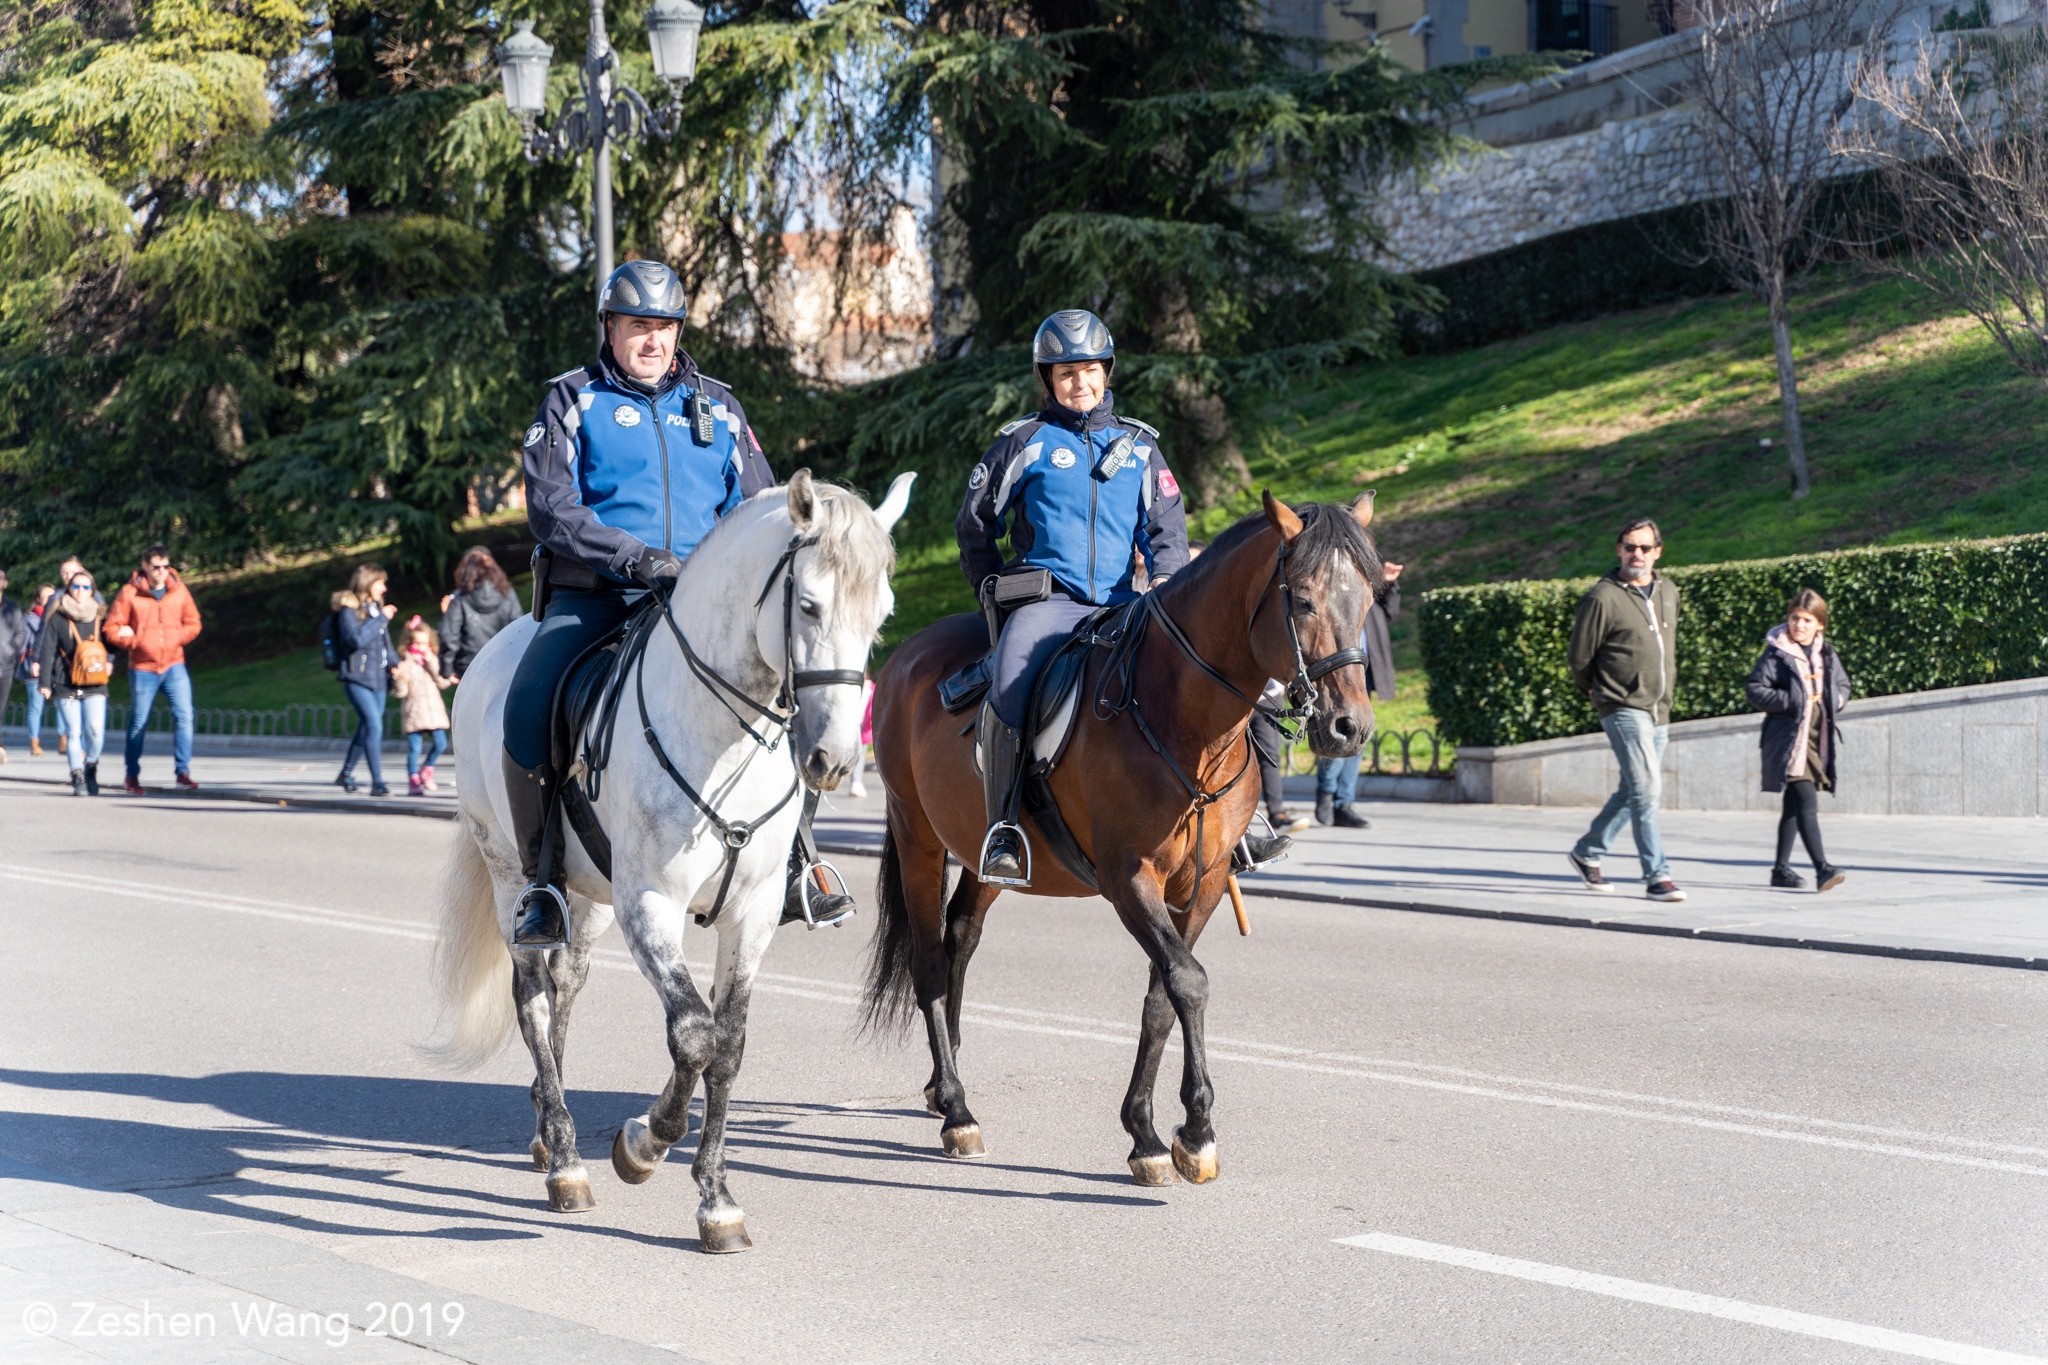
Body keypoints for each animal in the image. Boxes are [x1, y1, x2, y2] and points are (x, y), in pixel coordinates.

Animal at [432, 472, 913, 1260]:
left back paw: (546, 1131)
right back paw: (566, 1162)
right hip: (512, 879)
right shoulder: (651, 902)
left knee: (565, 989)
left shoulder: (751, 913)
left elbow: (729, 1045)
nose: (836, 760)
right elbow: (693, 1033)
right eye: (810, 603)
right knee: (533, 999)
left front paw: (717, 1200)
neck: (724, 734)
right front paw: (645, 1143)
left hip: (586, 900)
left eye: (883, 613)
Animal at [864, 491, 1376, 1186]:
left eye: (1371, 597)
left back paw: (944, 1083)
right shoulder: (1130, 877)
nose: (1350, 727)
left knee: (959, 939)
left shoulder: (1203, 884)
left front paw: (1154, 1133)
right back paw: (956, 1108)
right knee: (928, 963)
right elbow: (1189, 981)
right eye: (1301, 600)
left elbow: (1164, 994)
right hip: (918, 837)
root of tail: (907, 655)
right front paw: (1190, 1130)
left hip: (981, 854)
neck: (1182, 719)